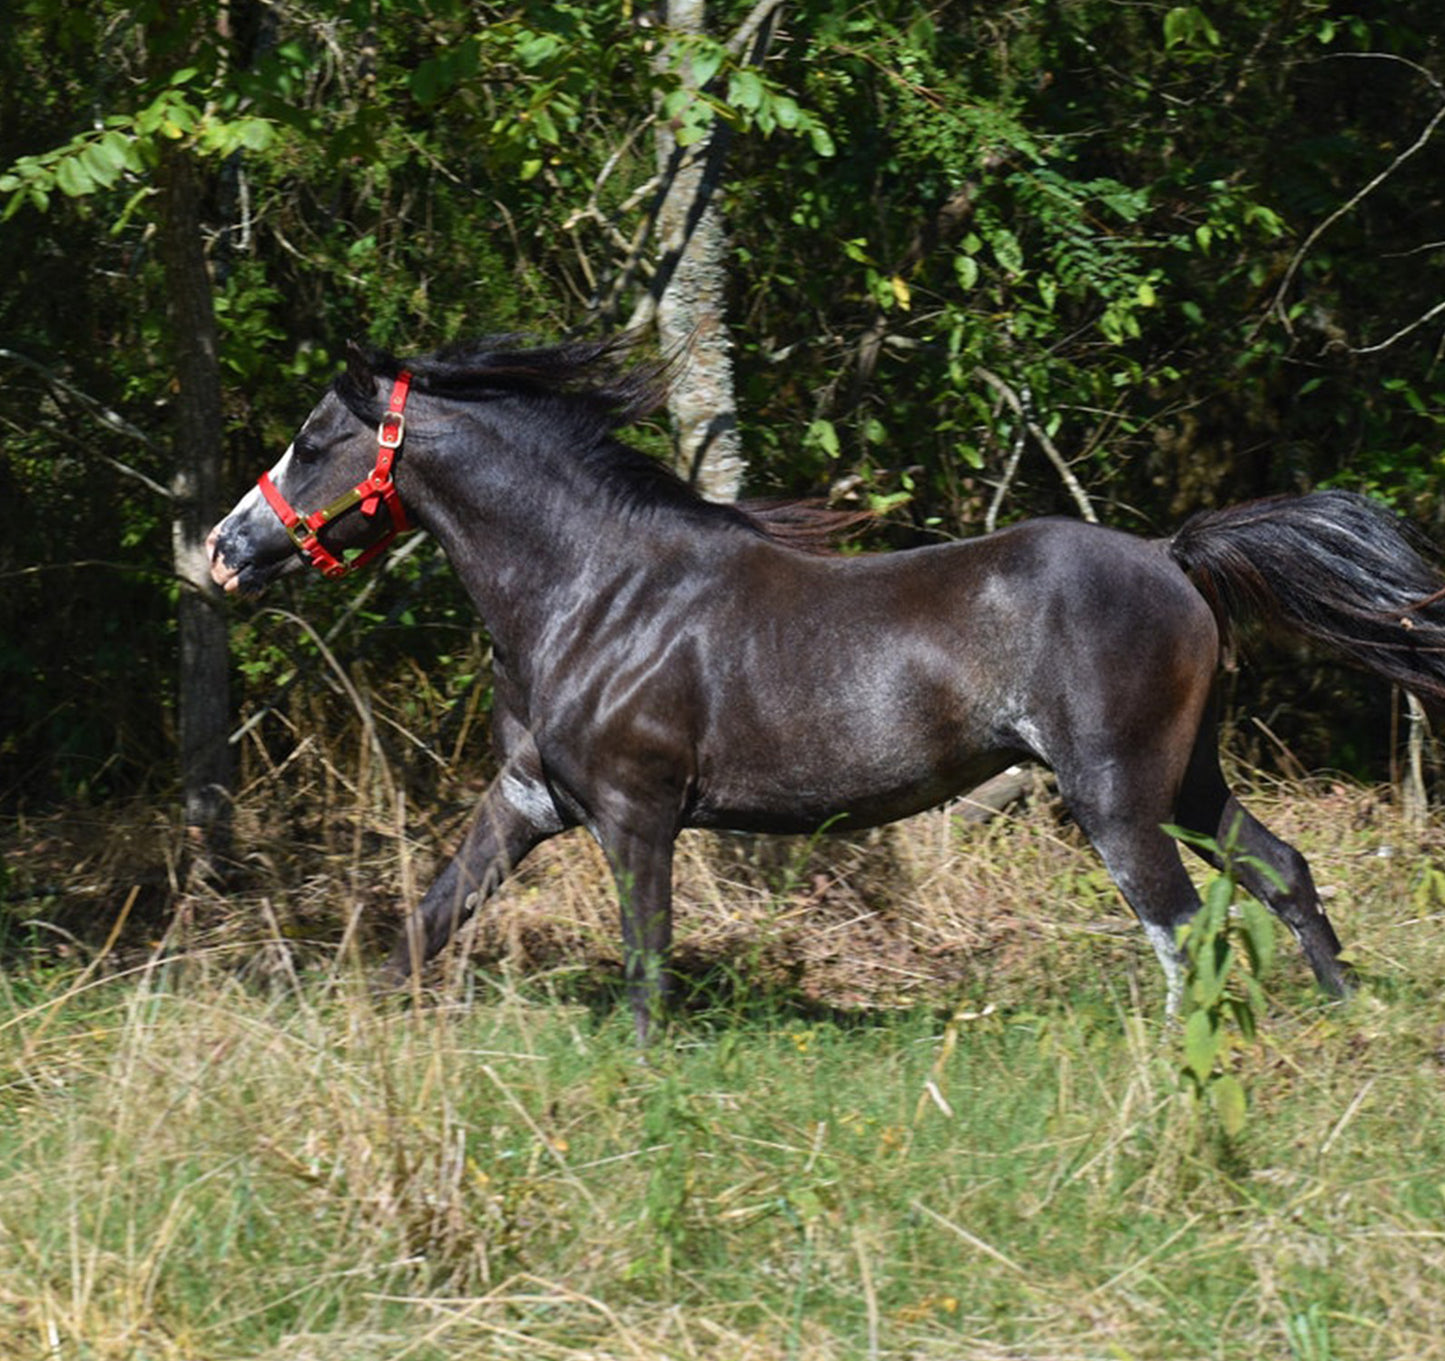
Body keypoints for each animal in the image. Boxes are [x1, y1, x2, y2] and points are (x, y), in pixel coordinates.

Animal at [206, 335, 1445, 1040]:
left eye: (314, 436)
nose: (222, 549)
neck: (593, 592)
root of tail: (1170, 554)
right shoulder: (528, 801)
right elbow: (428, 919)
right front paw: (352, 1029)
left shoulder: (635, 812)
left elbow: (646, 966)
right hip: (1187, 779)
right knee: (1281, 873)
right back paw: (1343, 1021)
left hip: (1112, 794)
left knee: (1182, 925)